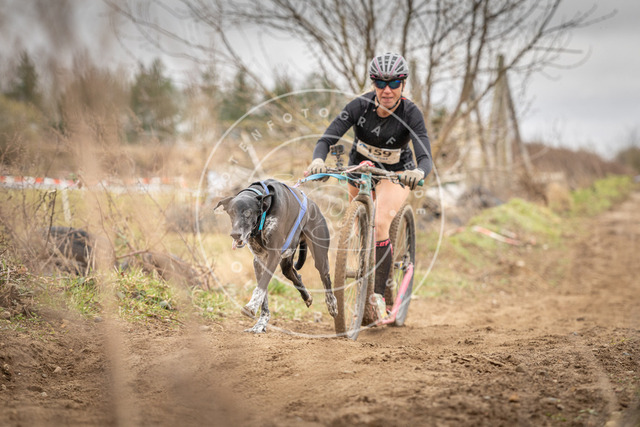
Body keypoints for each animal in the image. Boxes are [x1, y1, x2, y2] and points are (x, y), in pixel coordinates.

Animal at [215, 179, 337, 333]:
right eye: (231, 213)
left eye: (248, 213)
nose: (235, 234)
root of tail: (314, 205)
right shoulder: (259, 261)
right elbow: (263, 294)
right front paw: (260, 323)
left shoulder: (273, 256)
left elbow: (261, 286)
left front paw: (251, 307)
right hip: (286, 260)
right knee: (293, 274)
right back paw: (307, 296)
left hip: (320, 257)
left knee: (325, 277)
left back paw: (332, 304)